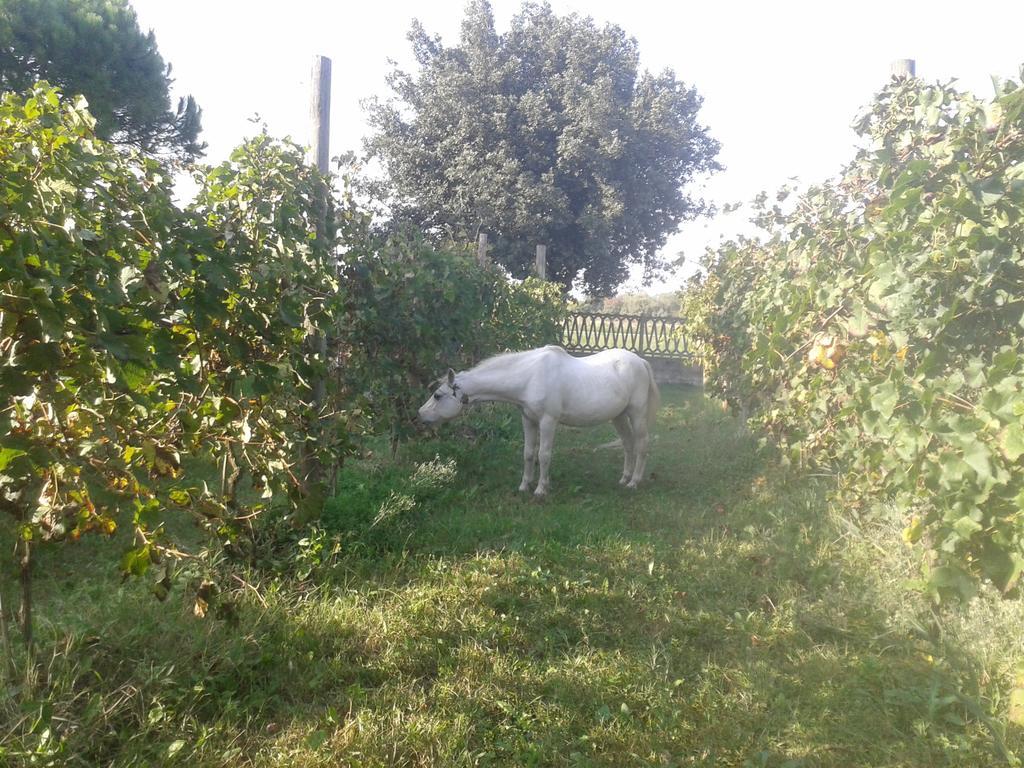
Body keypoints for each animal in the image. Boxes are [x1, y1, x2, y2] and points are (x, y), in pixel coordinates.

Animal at [417, 348, 663, 499]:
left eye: (438, 395)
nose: (420, 415)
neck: (530, 377)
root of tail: (640, 361)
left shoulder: (548, 422)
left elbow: (543, 455)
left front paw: (541, 489)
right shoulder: (528, 420)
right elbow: (528, 453)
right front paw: (524, 485)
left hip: (637, 415)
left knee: (641, 446)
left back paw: (634, 482)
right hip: (618, 417)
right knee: (628, 445)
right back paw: (624, 479)